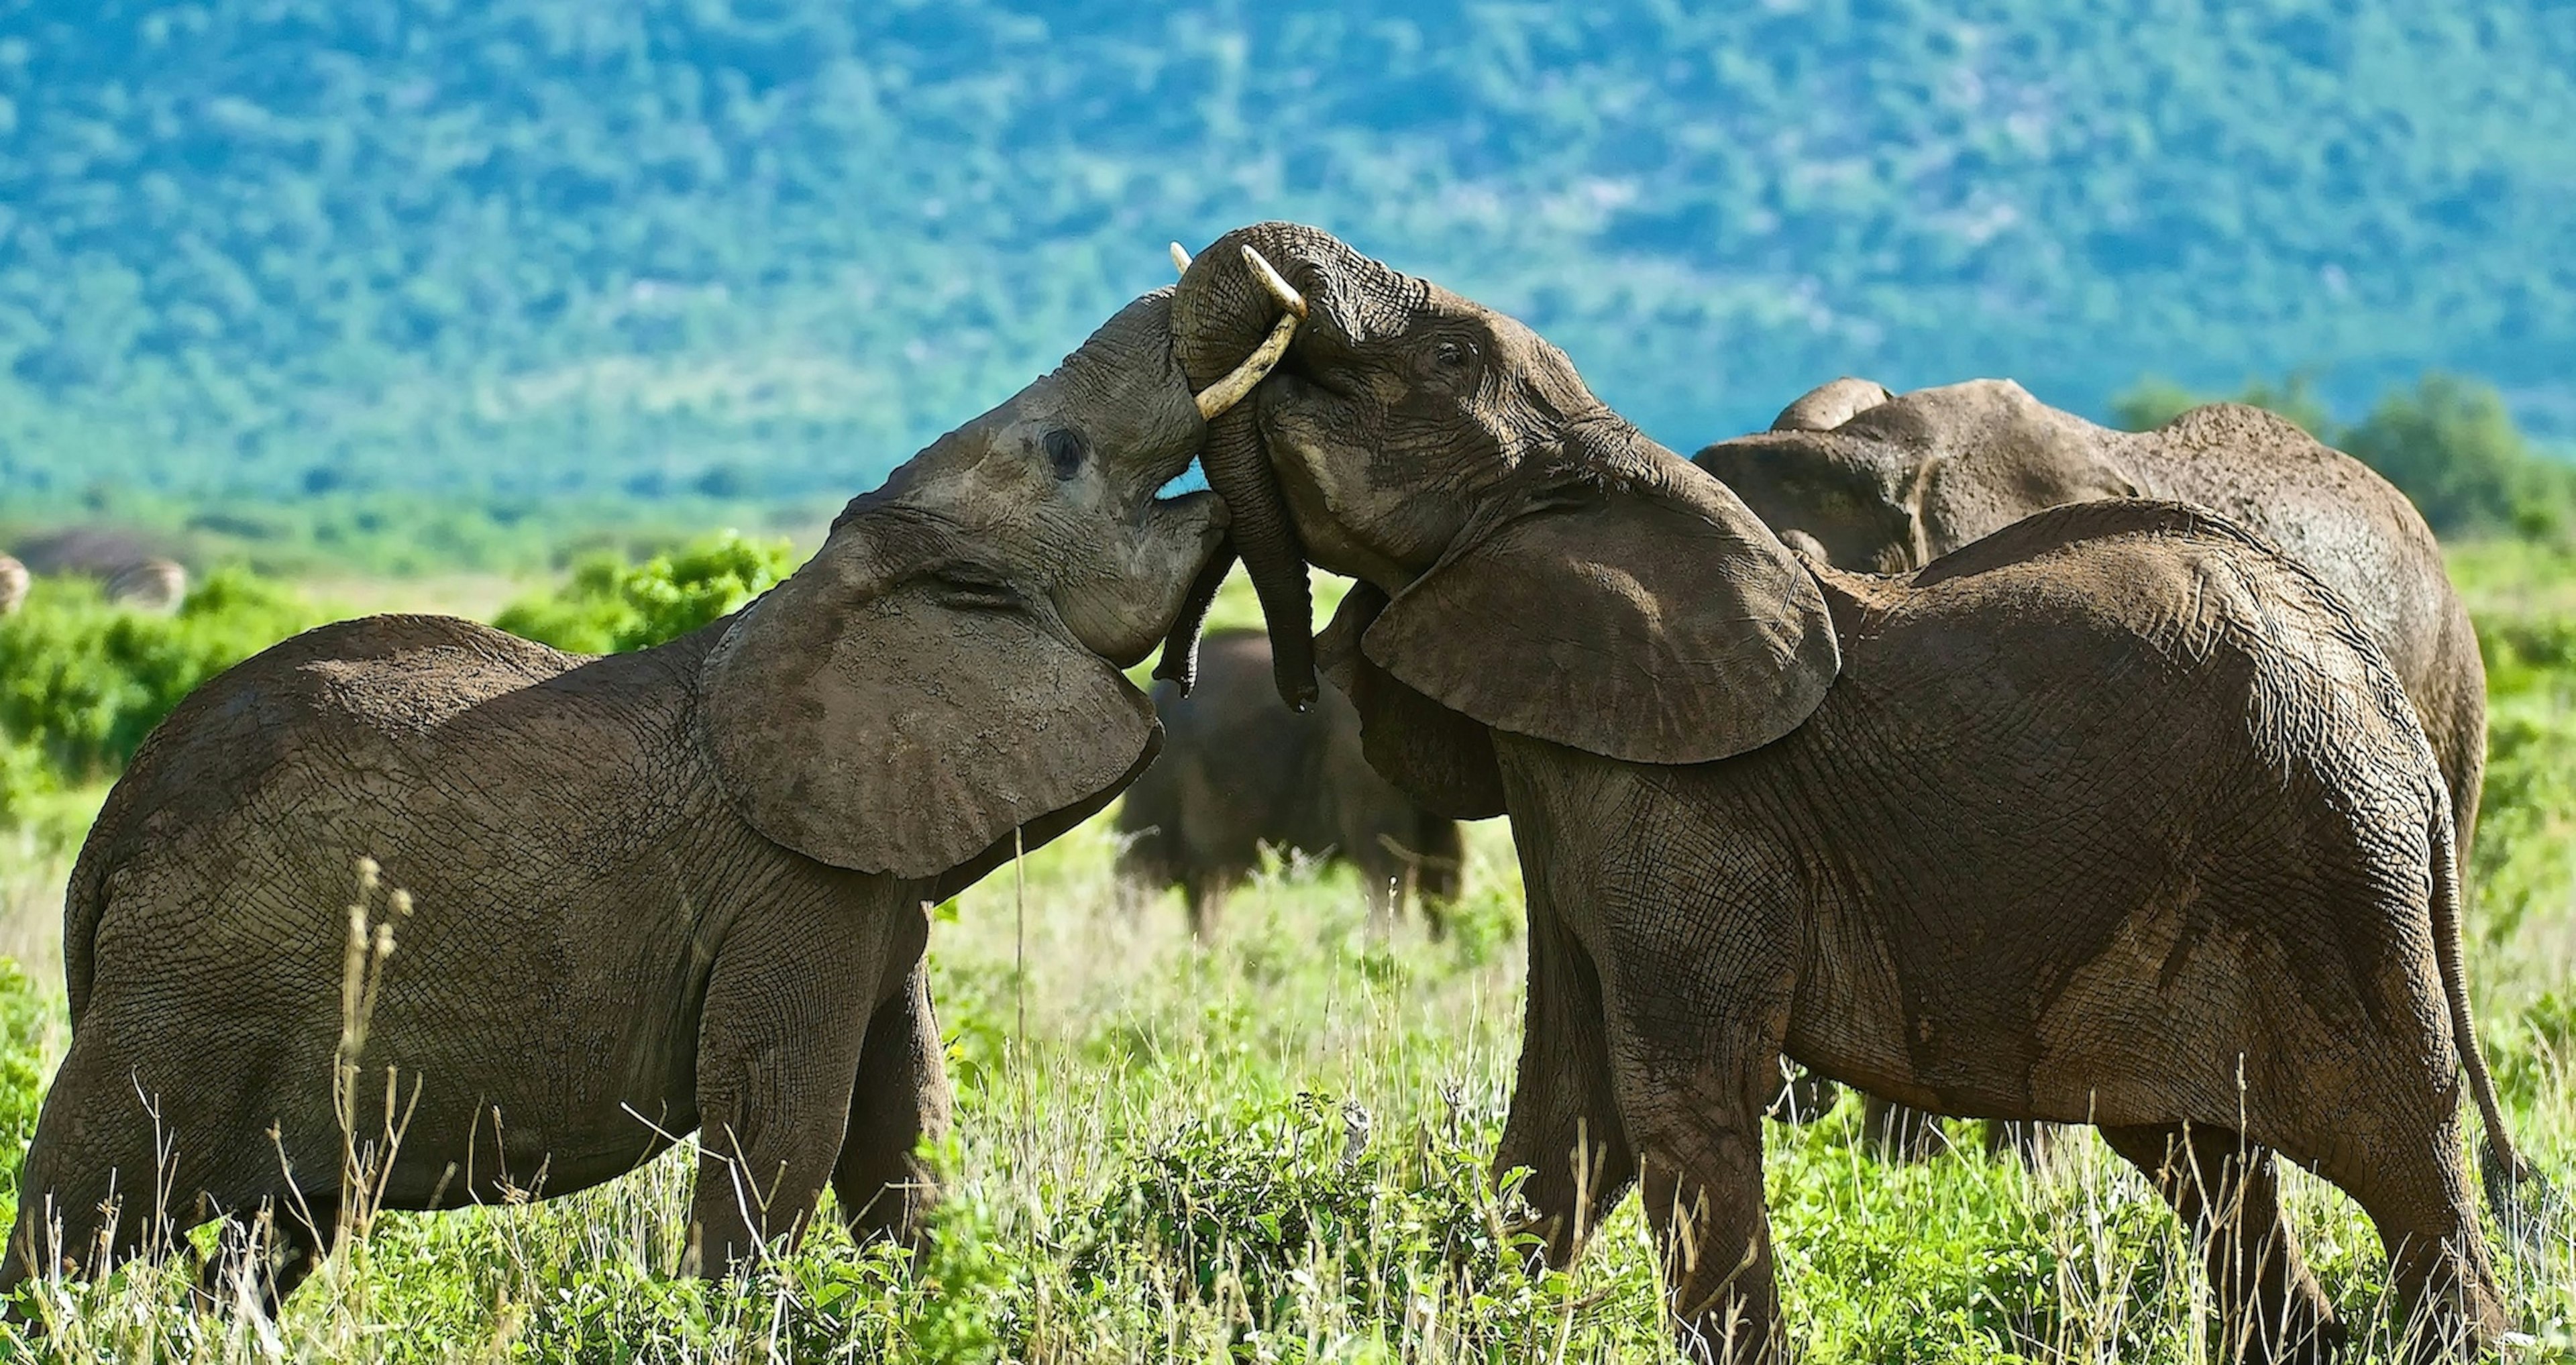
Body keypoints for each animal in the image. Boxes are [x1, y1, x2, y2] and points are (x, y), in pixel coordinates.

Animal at [5, 279, 1308, 1308]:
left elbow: (908, 1127)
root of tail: (108, 839)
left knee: (268, 1240)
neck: (844, 579)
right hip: (184, 992)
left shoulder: (874, 878)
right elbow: (785, 1128)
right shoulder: (796, 887)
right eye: (1065, 452)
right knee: (79, 1212)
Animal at [1179, 217, 2544, 1349]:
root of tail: (2388, 708)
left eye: (1452, 352)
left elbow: (1677, 1103)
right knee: (2208, 1168)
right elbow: (1564, 1125)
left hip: (2338, 862)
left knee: (2404, 1164)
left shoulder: (1690, 804)